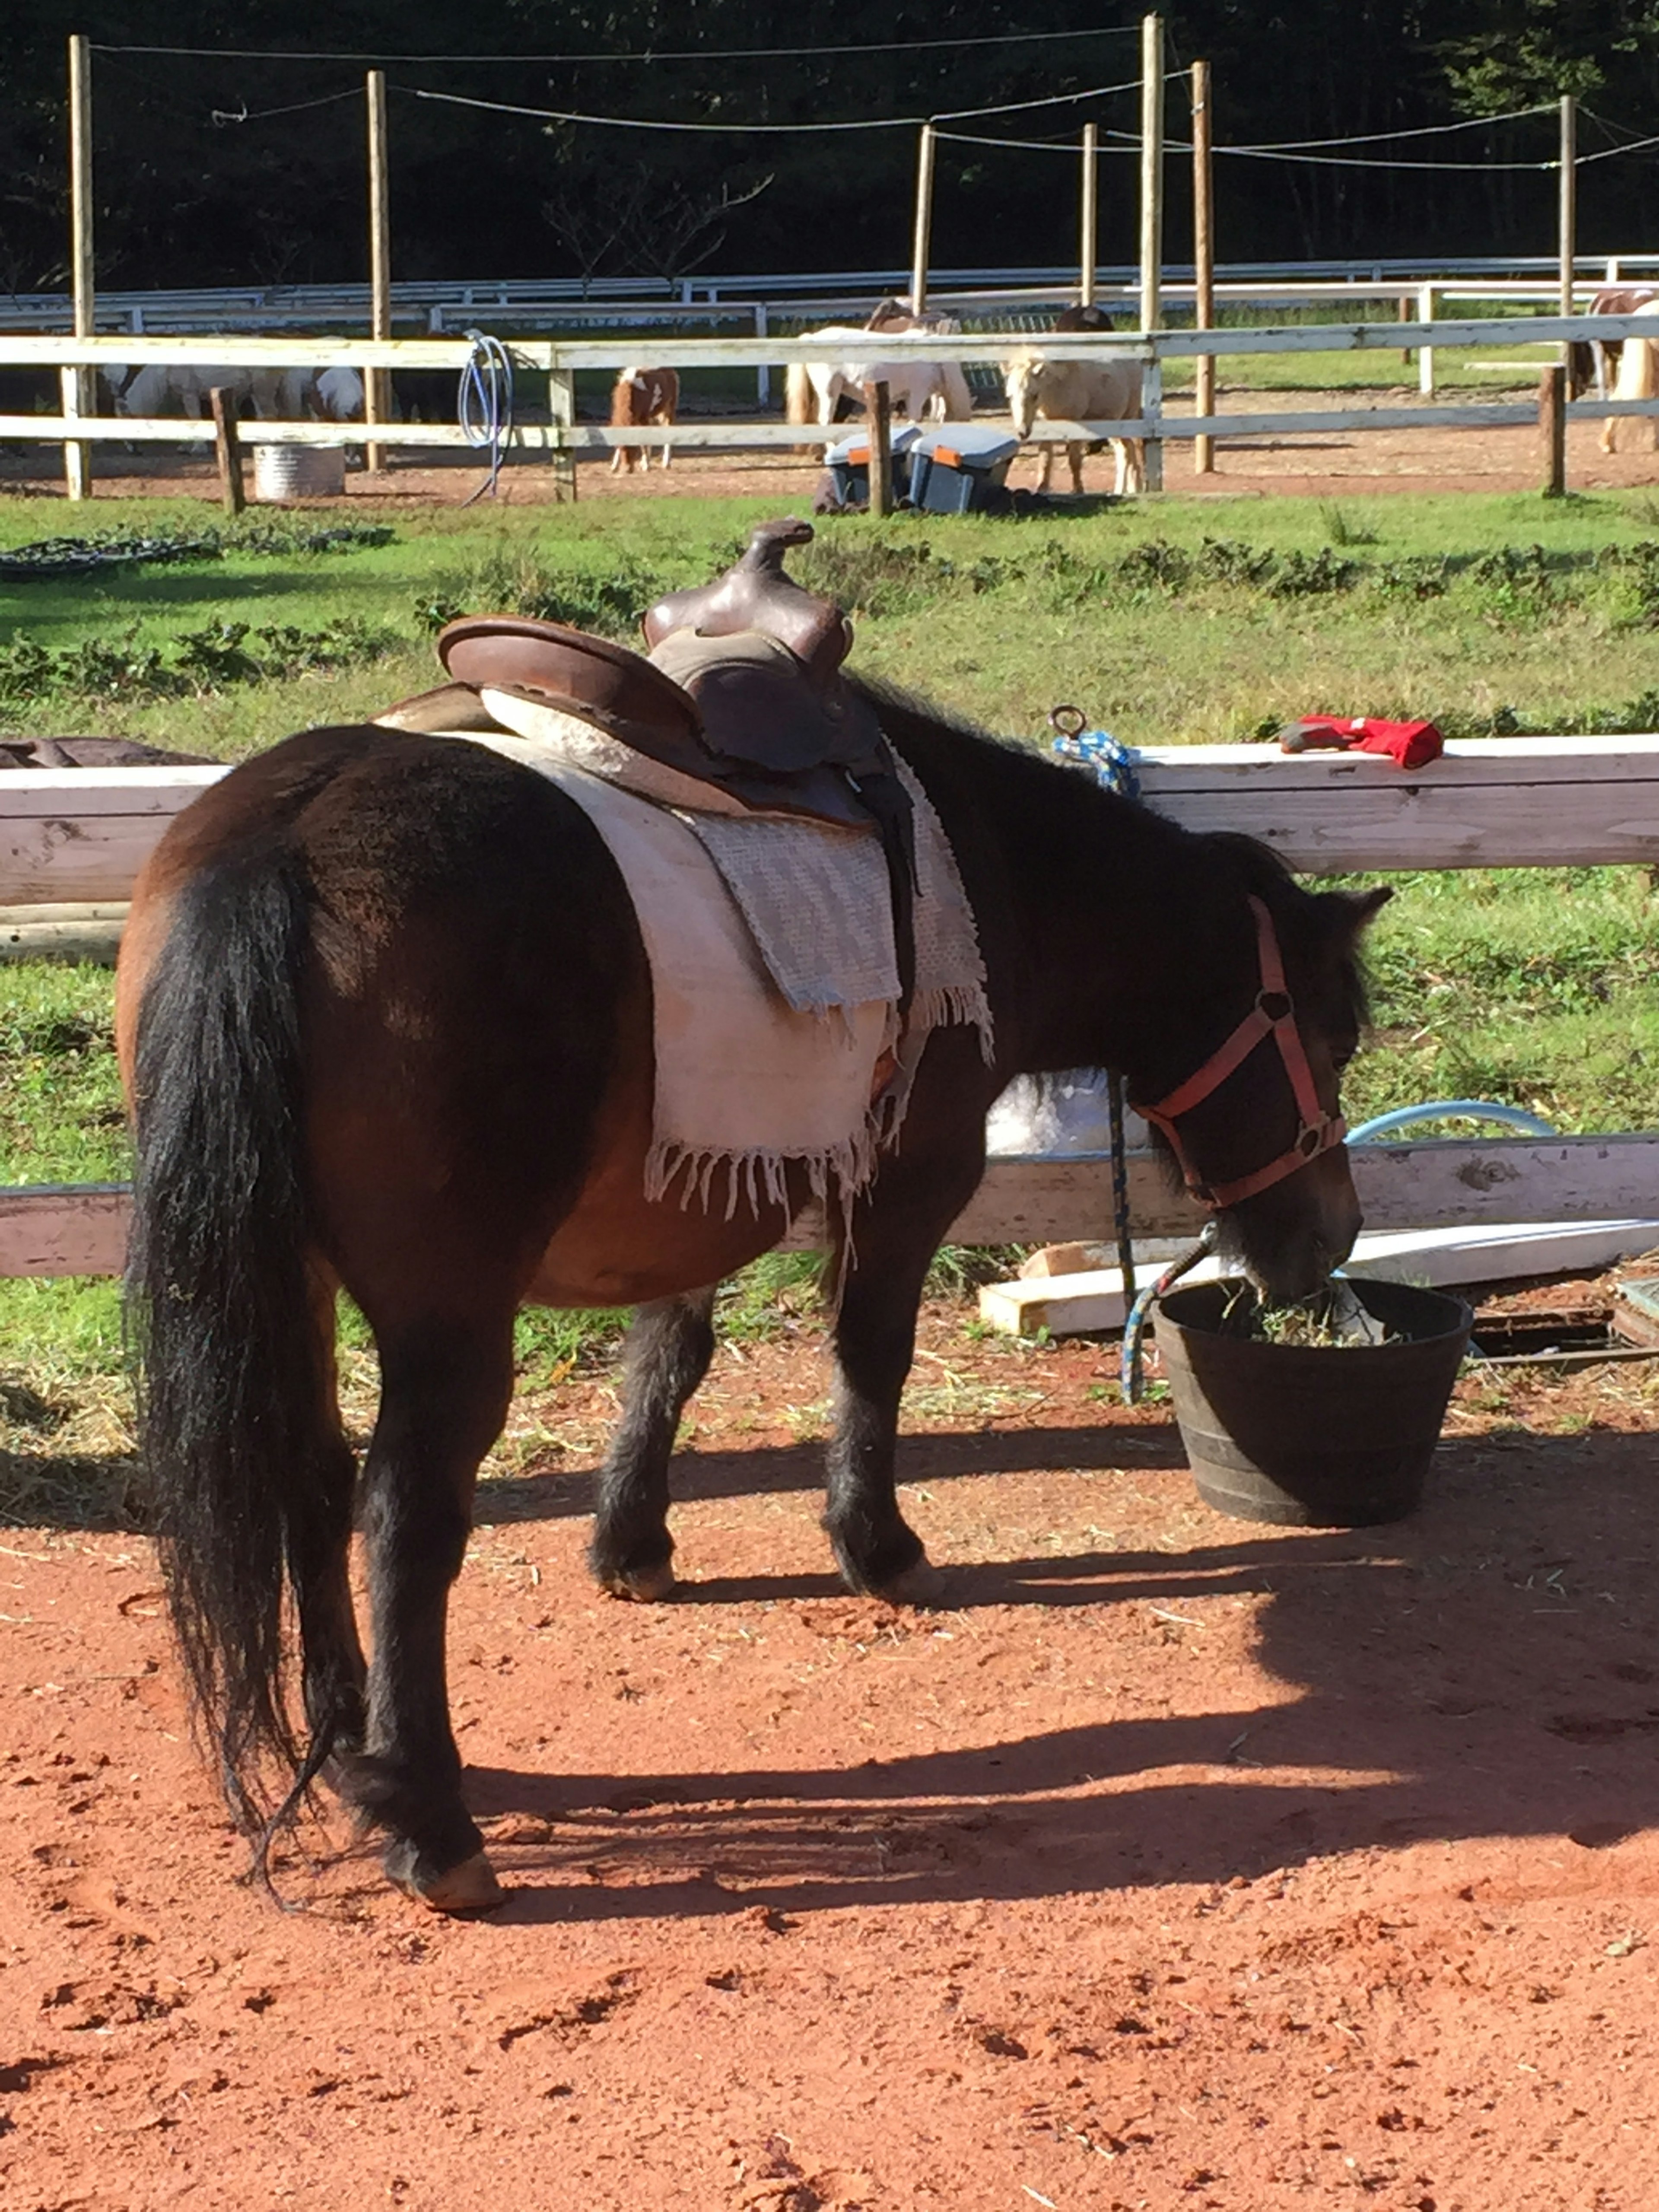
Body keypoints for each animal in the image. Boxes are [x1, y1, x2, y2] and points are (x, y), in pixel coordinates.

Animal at [120, 619, 1389, 1902]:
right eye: (1331, 1034)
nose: (1327, 1237)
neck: (992, 864)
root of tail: (285, 842)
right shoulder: (905, 1184)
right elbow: (870, 1357)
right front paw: (876, 1547)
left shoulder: (699, 1182)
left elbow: (667, 1359)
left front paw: (631, 1542)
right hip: (449, 1318)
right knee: (403, 1519)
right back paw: (429, 1817)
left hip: (298, 1281)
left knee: (310, 1478)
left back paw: (345, 1745)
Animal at [606, 365, 677, 473]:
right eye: (622, 448)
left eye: (633, 447)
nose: (628, 469)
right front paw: (614, 466)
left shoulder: (644, 418)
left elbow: (644, 442)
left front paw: (647, 466)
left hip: (668, 411)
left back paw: (666, 464)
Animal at [1008, 347, 1150, 495]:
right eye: (1010, 396)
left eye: (1035, 395)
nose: (1022, 432)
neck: (1060, 386)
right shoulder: (1048, 430)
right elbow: (1045, 460)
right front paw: (1042, 489)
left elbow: (1074, 460)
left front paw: (1078, 490)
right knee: (1125, 451)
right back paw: (1128, 489)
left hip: (1127, 421)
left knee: (1131, 450)